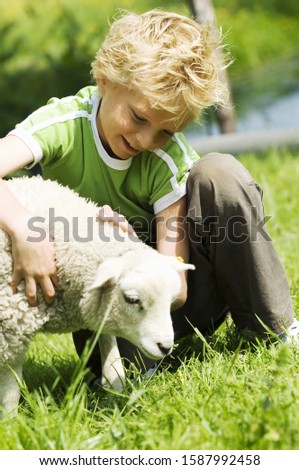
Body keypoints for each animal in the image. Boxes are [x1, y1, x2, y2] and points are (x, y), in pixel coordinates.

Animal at [0, 175, 195, 414]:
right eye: (132, 299)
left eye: (171, 302)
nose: (166, 347)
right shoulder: (11, 328)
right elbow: (11, 393)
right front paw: (10, 420)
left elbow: (110, 352)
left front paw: (115, 389)